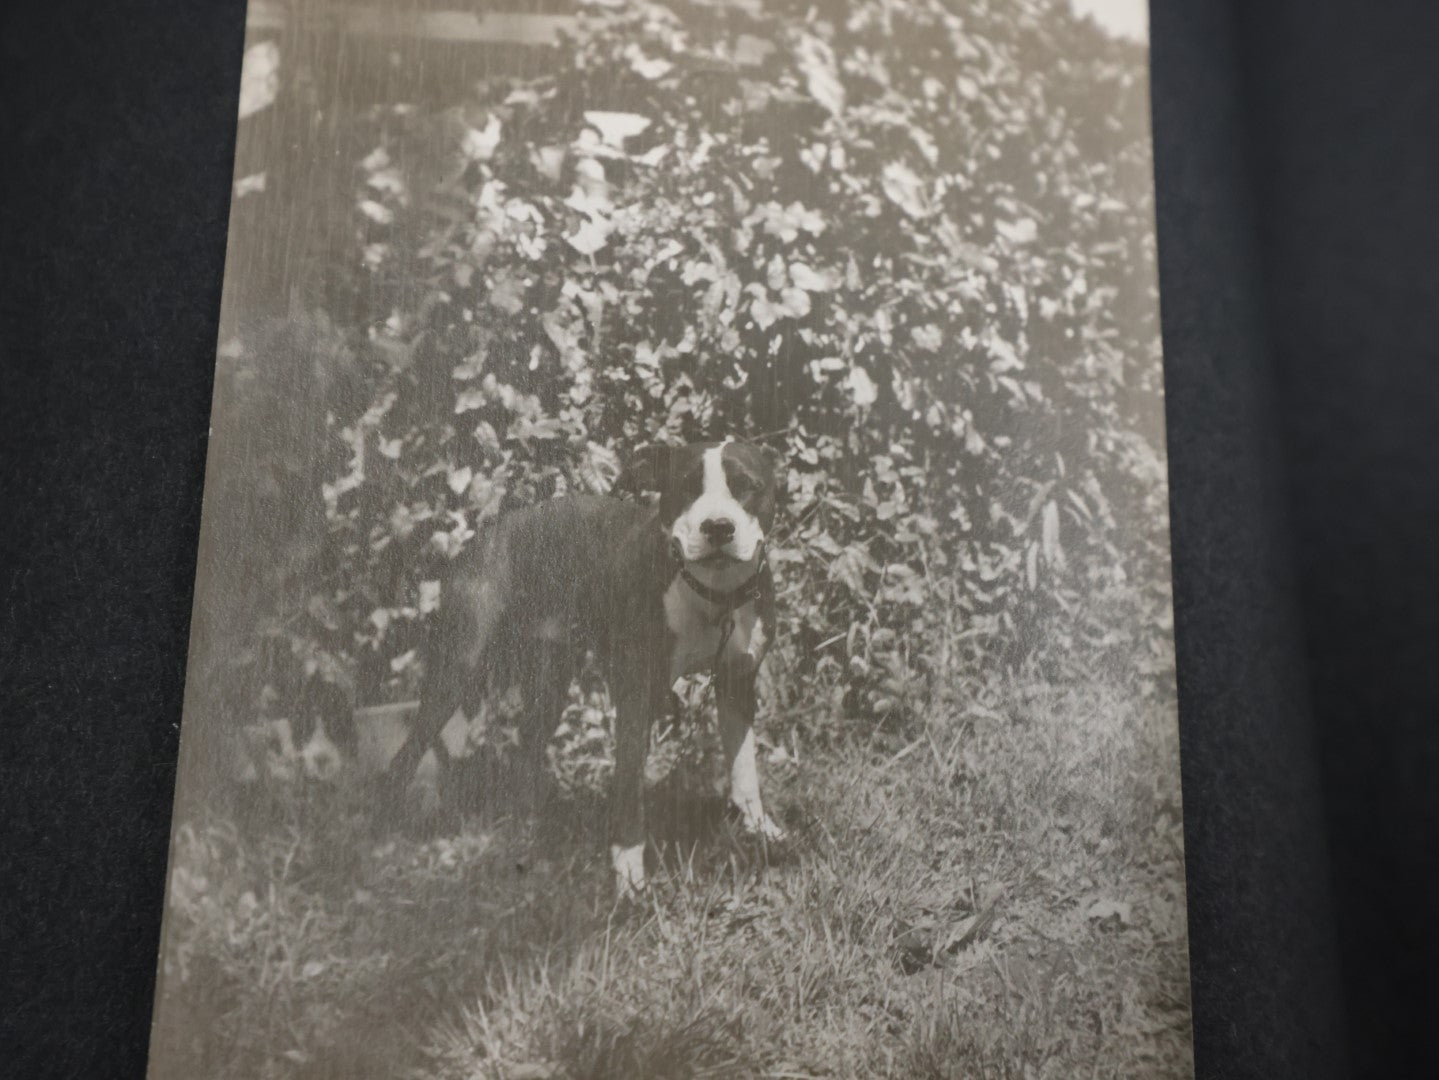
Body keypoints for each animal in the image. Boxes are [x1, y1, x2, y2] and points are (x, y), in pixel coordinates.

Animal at [379, 440, 788, 897]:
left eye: (747, 487)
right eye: (686, 487)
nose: (717, 526)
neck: (712, 597)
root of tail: (486, 534)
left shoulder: (738, 683)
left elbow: (744, 767)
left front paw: (760, 830)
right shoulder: (636, 691)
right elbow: (628, 784)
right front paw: (629, 872)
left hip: (549, 680)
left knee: (526, 751)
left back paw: (532, 829)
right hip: (457, 669)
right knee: (405, 757)